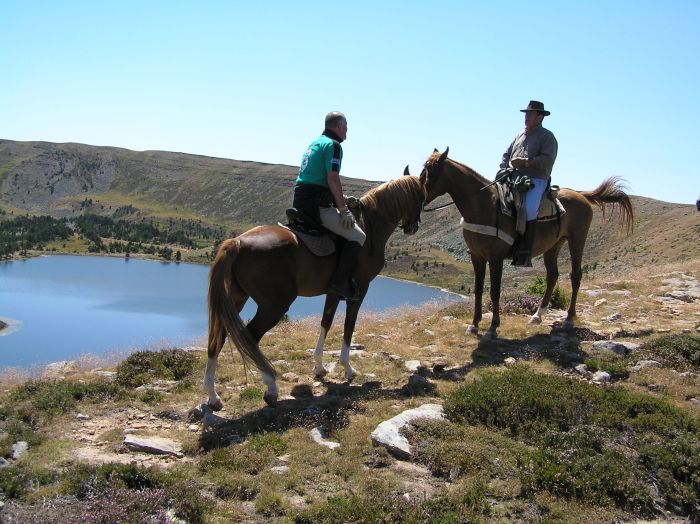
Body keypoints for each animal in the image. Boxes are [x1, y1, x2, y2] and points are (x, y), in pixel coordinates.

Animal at [202, 174, 422, 408]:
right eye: (419, 195)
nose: (413, 226)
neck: (370, 226)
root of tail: (237, 242)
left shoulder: (333, 292)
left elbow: (326, 323)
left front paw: (319, 367)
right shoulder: (359, 291)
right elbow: (349, 327)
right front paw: (347, 368)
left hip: (236, 300)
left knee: (217, 338)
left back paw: (212, 395)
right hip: (274, 306)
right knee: (250, 338)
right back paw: (270, 388)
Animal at [418, 147, 636, 340]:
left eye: (432, 171)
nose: (420, 199)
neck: (484, 206)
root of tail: (581, 195)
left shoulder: (496, 258)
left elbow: (495, 292)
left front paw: (493, 328)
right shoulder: (477, 256)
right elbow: (478, 290)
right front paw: (474, 325)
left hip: (577, 240)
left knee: (575, 276)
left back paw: (569, 318)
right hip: (553, 246)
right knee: (552, 276)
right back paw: (537, 315)